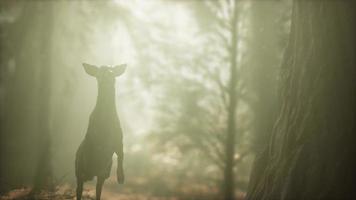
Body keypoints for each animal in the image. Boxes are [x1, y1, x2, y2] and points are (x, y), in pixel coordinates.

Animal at [75, 63, 126, 200]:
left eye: (112, 70)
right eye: (99, 72)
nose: (108, 74)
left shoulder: (119, 138)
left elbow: (121, 154)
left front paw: (121, 177)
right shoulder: (93, 136)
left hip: (100, 177)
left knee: (98, 191)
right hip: (78, 171)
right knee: (79, 190)